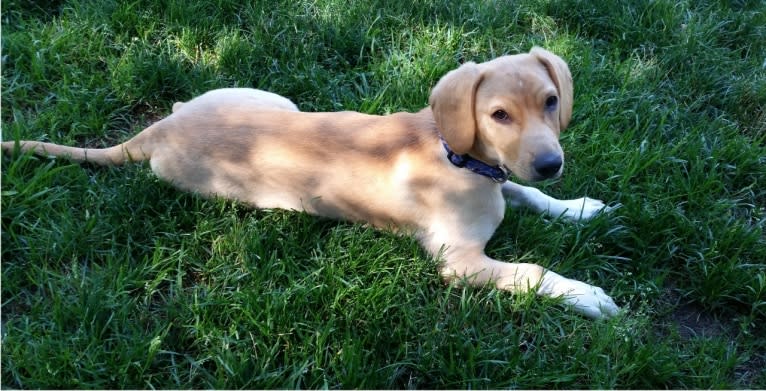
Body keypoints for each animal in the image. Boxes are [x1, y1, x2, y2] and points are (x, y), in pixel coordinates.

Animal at [3, 47, 620, 320]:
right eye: (498, 116)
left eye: (550, 101)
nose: (551, 163)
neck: (461, 159)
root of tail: (159, 129)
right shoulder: (460, 262)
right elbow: (532, 271)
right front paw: (587, 296)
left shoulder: (506, 182)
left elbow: (531, 195)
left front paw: (582, 208)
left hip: (274, 100)